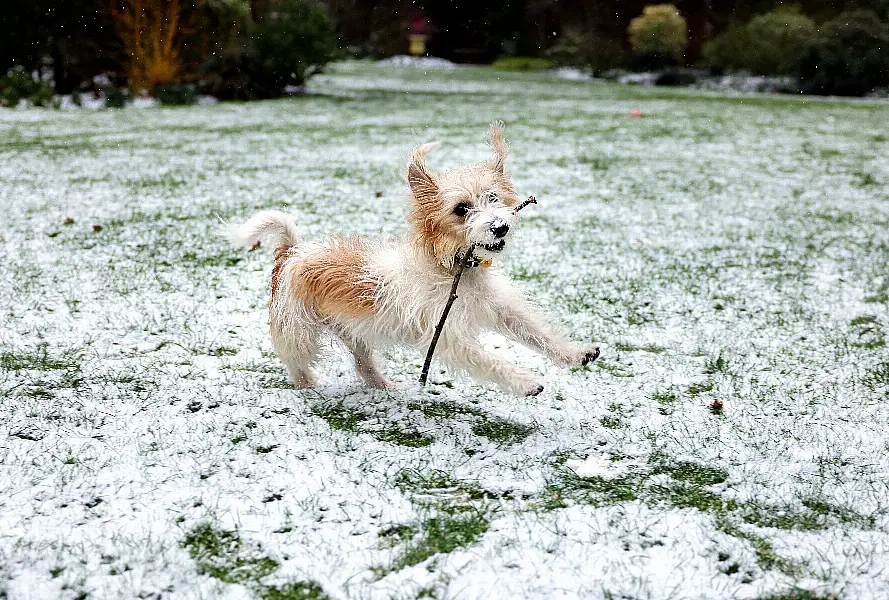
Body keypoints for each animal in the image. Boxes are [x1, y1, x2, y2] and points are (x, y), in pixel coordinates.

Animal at [232, 122, 600, 396]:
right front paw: (525, 382)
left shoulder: (500, 307)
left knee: (362, 363)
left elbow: (536, 330)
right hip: (298, 331)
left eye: (493, 198)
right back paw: (309, 387)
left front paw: (576, 352)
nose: (500, 227)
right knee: (297, 363)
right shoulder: (447, 336)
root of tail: (293, 251)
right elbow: (487, 360)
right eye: (461, 209)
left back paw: (382, 386)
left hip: (352, 331)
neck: (452, 268)